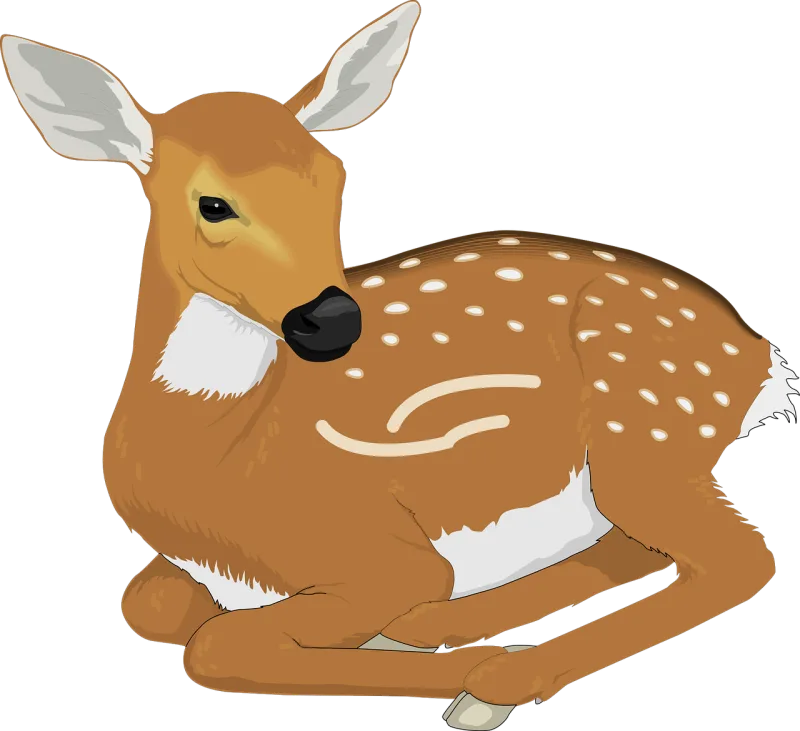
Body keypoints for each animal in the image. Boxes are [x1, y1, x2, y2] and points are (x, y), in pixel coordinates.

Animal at [3, 3, 796, 728]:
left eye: (335, 178)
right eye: (214, 204)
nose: (331, 319)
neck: (228, 457)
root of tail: (758, 359)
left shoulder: (380, 551)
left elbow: (217, 644)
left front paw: (455, 671)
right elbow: (149, 605)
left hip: (642, 425)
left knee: (741, 558)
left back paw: (489, 674)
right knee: (644, 546)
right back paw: (447, 629)